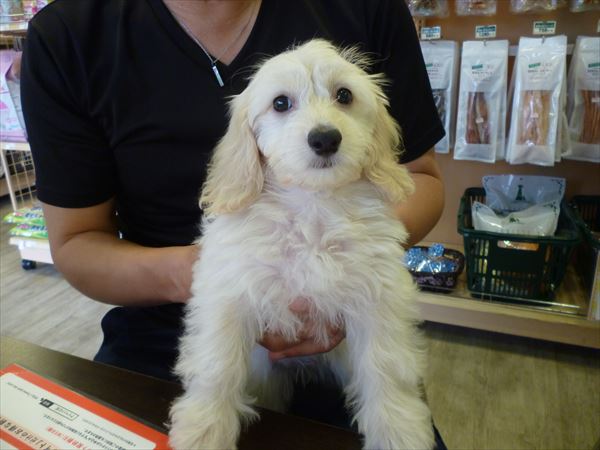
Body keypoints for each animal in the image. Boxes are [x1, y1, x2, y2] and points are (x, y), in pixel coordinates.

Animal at [168, 39, 435, 450]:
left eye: (344, 95)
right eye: (281, 103)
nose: (325, 138)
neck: (313, 205)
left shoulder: (379, 298)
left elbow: (386, 364)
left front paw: (398, 431)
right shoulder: (229, 292)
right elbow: (217, 362)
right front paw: (204, 427)